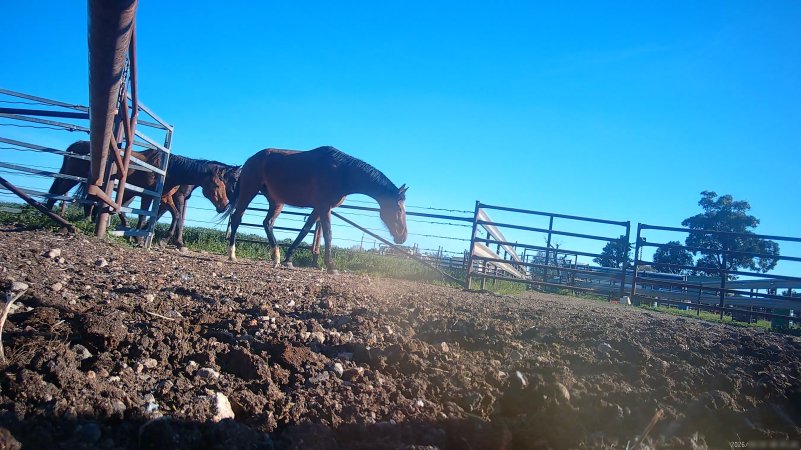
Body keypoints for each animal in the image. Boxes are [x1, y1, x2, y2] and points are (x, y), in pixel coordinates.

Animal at [223, 146, 408, 274]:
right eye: (399, 209)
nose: (403, 236)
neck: (342, 172)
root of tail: (250, 159)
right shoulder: (324, 208)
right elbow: (328, 234)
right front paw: (331, 266)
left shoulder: (318, 208)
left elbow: (304, 230)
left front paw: (289, 259)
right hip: (249, 191)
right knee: (237, 218)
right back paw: (232, 255)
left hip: (276, 201)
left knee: (267, 223)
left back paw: (276, 258)